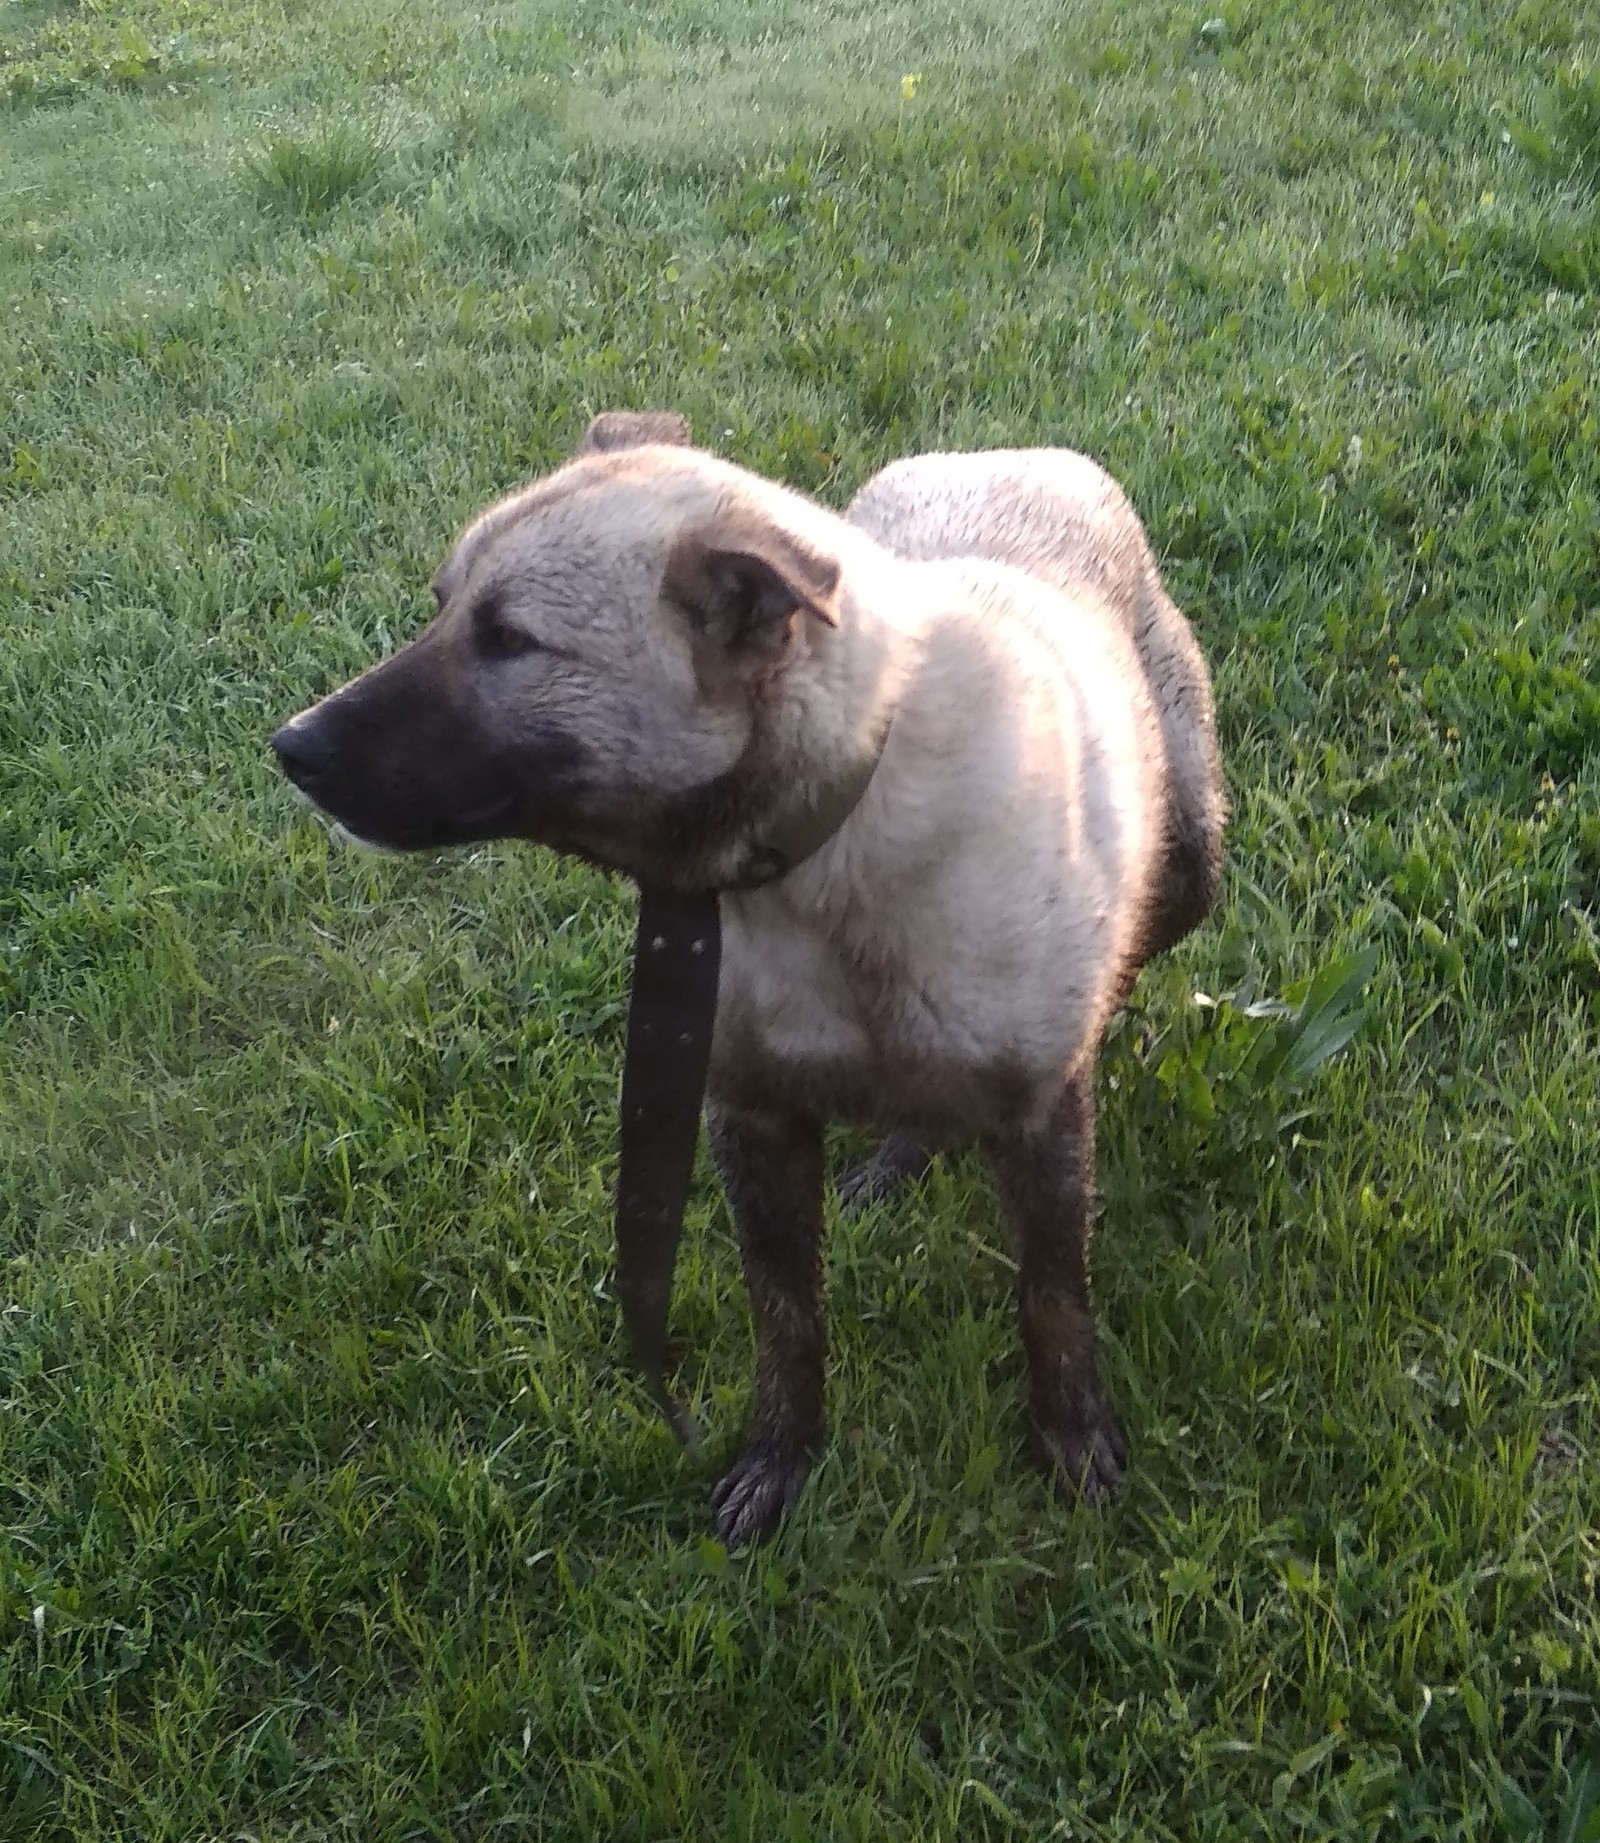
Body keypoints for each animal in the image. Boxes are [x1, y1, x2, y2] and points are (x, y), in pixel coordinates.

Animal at [274, 414, 1223, 1540]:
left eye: (510, 639)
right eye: (442, 607)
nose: (290, 747)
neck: (826, 853)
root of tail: (1016, 455)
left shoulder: (1040, 1108)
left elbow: (1052, 1295)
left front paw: (1072, 1431)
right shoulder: (748, 1120)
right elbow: (787, 1319)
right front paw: (781, 1455)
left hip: (1192, 869)